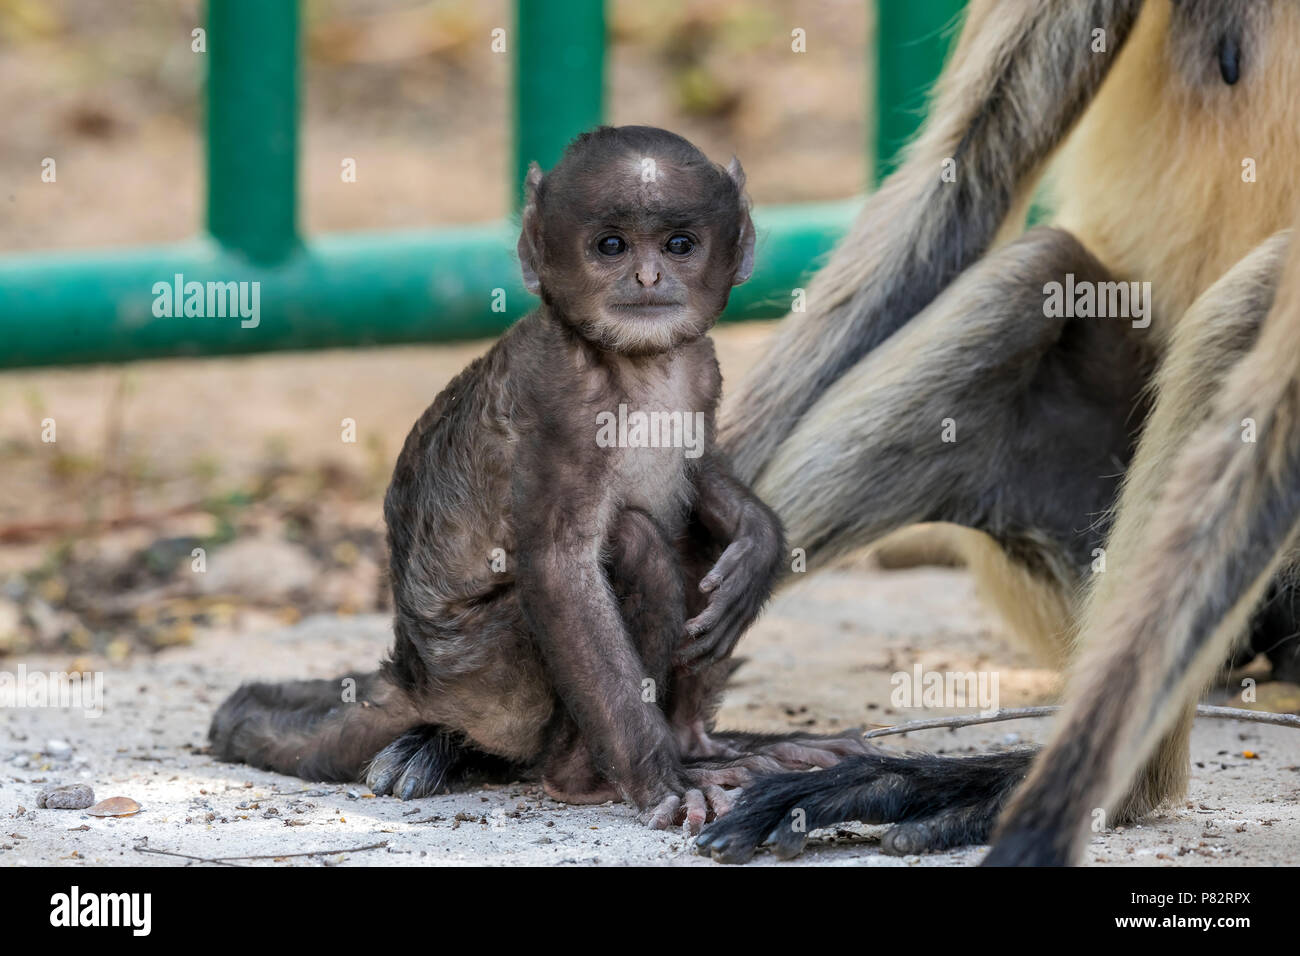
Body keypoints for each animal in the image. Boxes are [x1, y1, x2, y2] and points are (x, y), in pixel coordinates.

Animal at [210, 127, 863, 832]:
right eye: (612, 246)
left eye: (679, 244)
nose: (648, 277)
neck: (638, 367)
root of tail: (415, 676)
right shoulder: (560, 402)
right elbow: (559, 568)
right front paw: (660, 780)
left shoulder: (701, 370)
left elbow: (703, 469)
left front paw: (759, 543)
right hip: (490, 680)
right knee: (635, 543)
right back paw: (585, 776)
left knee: (686, 533)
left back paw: (701, 744)